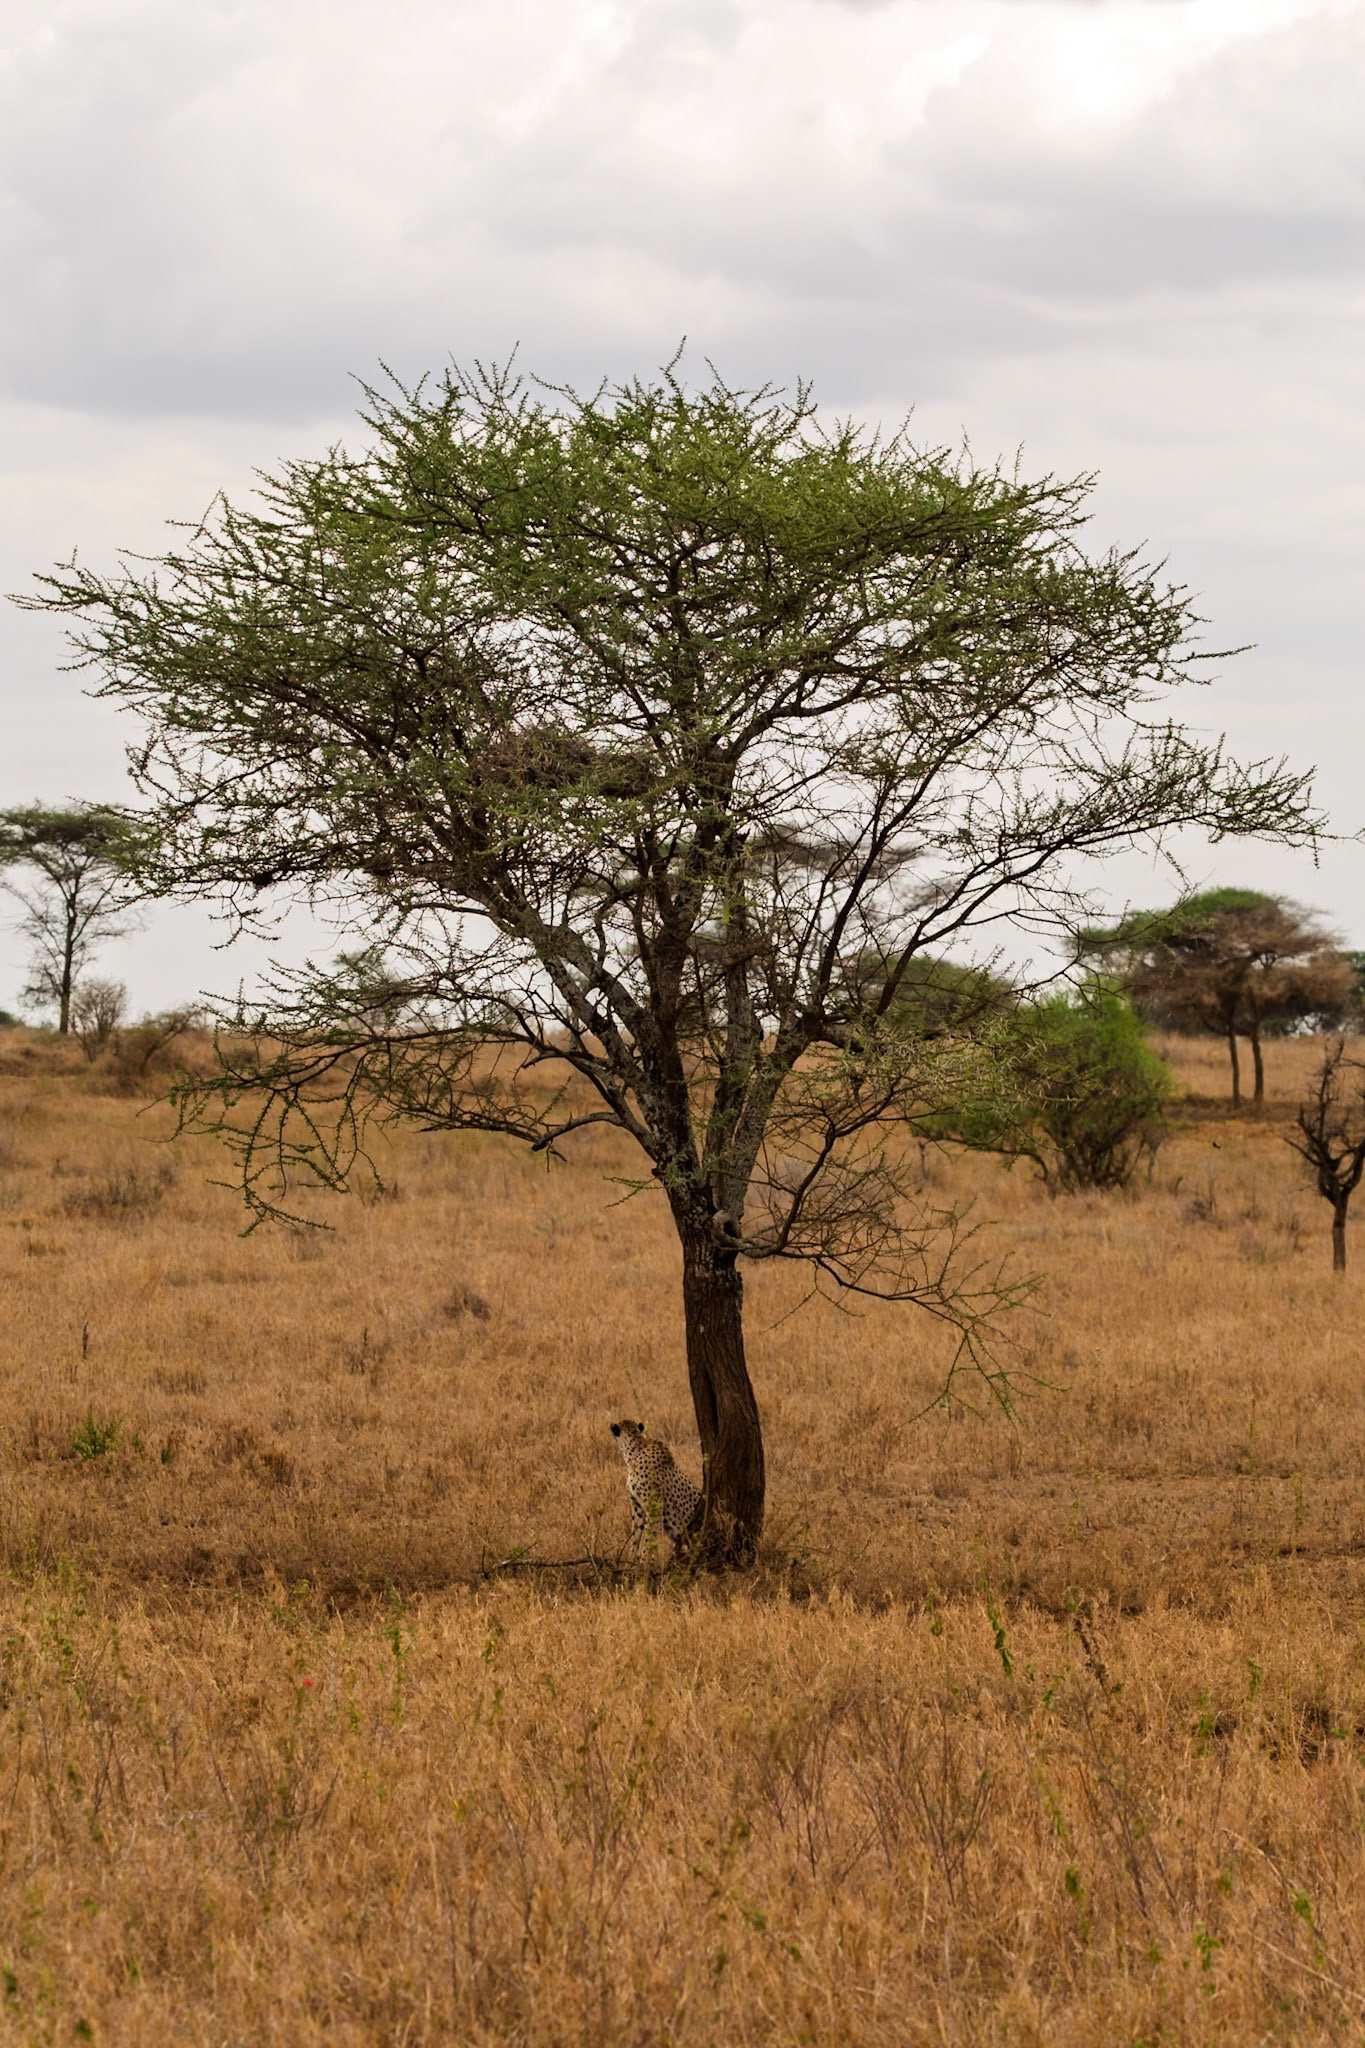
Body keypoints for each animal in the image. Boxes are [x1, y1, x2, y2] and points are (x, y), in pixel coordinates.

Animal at [609, 1419, 702, 1558]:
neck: (634, 1453)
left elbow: (648, 1539)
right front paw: (631, 1559)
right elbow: (635, 1535)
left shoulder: (655, 1507)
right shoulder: (637, 1506)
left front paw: (644, 1560)